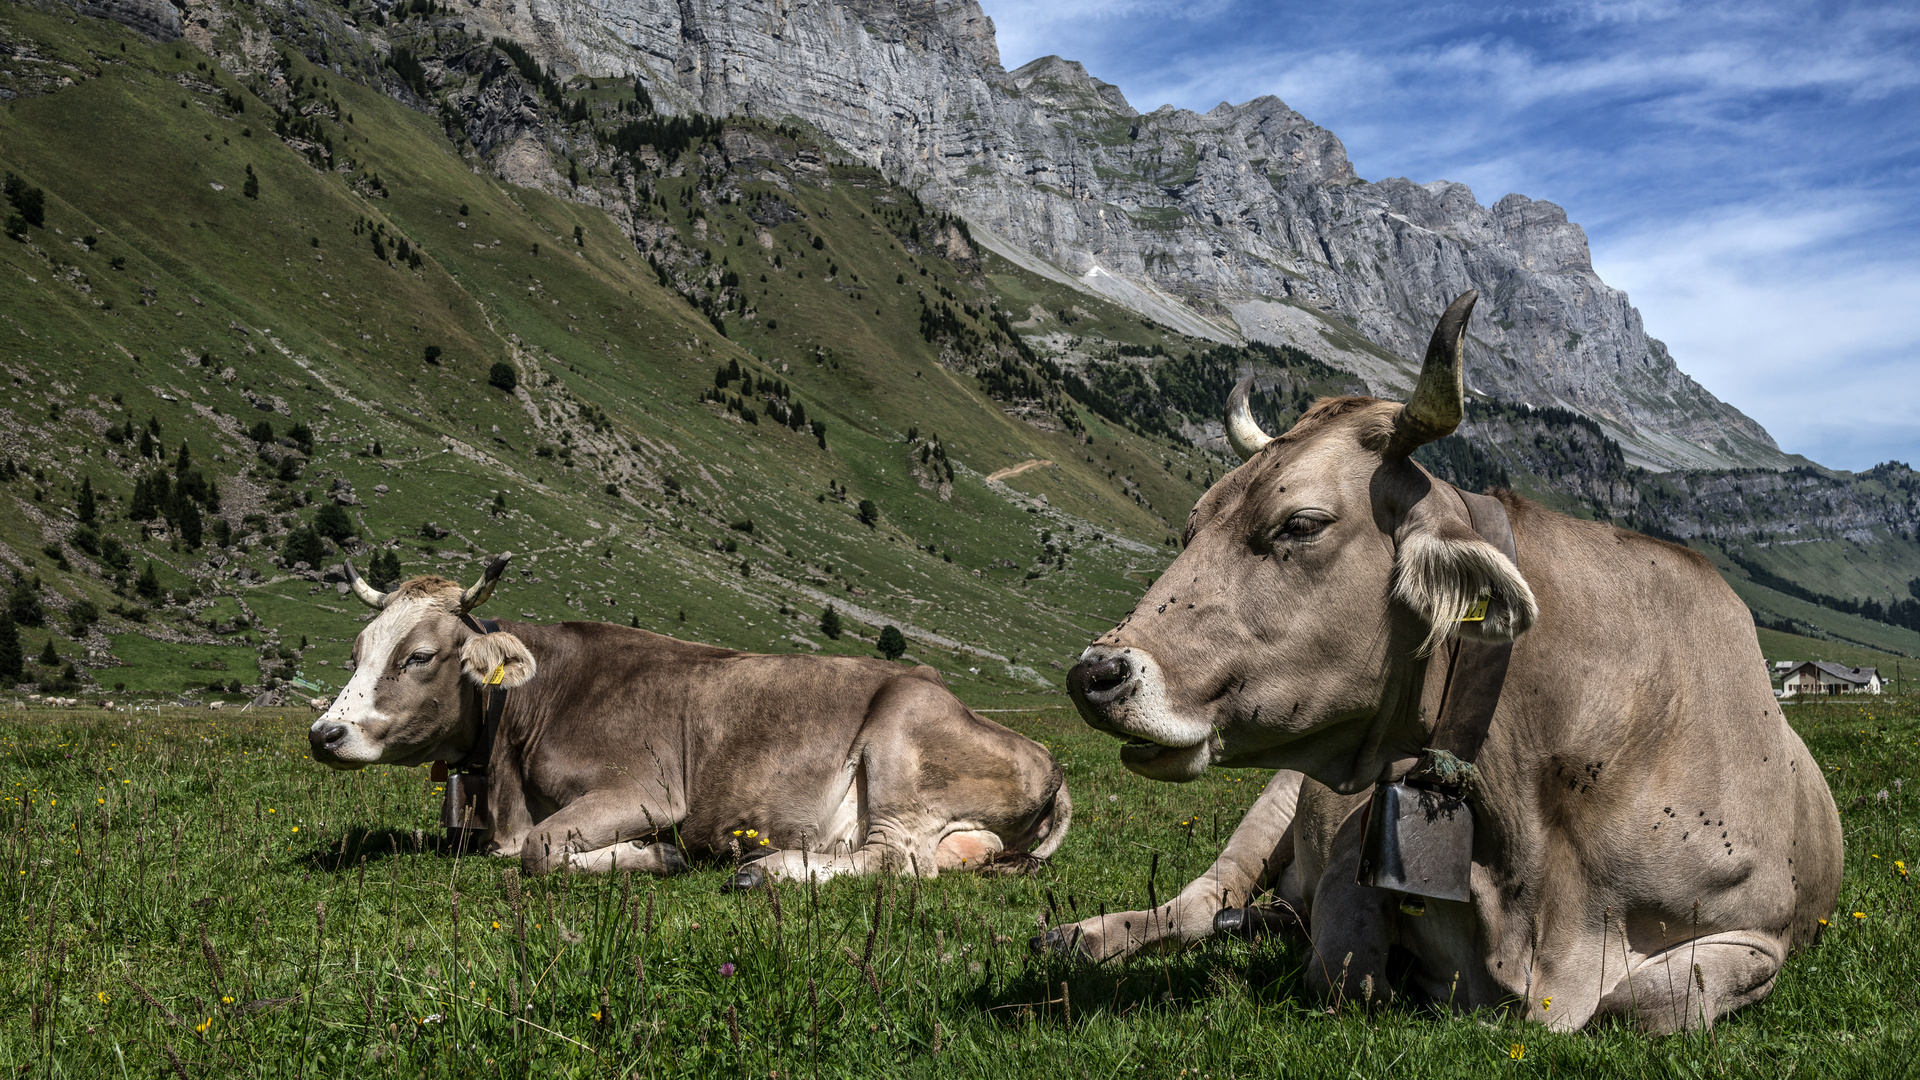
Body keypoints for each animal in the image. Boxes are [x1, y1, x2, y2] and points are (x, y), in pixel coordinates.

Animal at [1052, 290, 1843, 1030]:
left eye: (1300, 524)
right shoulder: (1350, 867)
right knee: (1200, 901)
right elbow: (1345, 973)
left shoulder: (1757, 935)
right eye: (1191, 526)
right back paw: (1081, 936)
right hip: (1272, 801)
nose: (1094, 674)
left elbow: (1640, 1002)